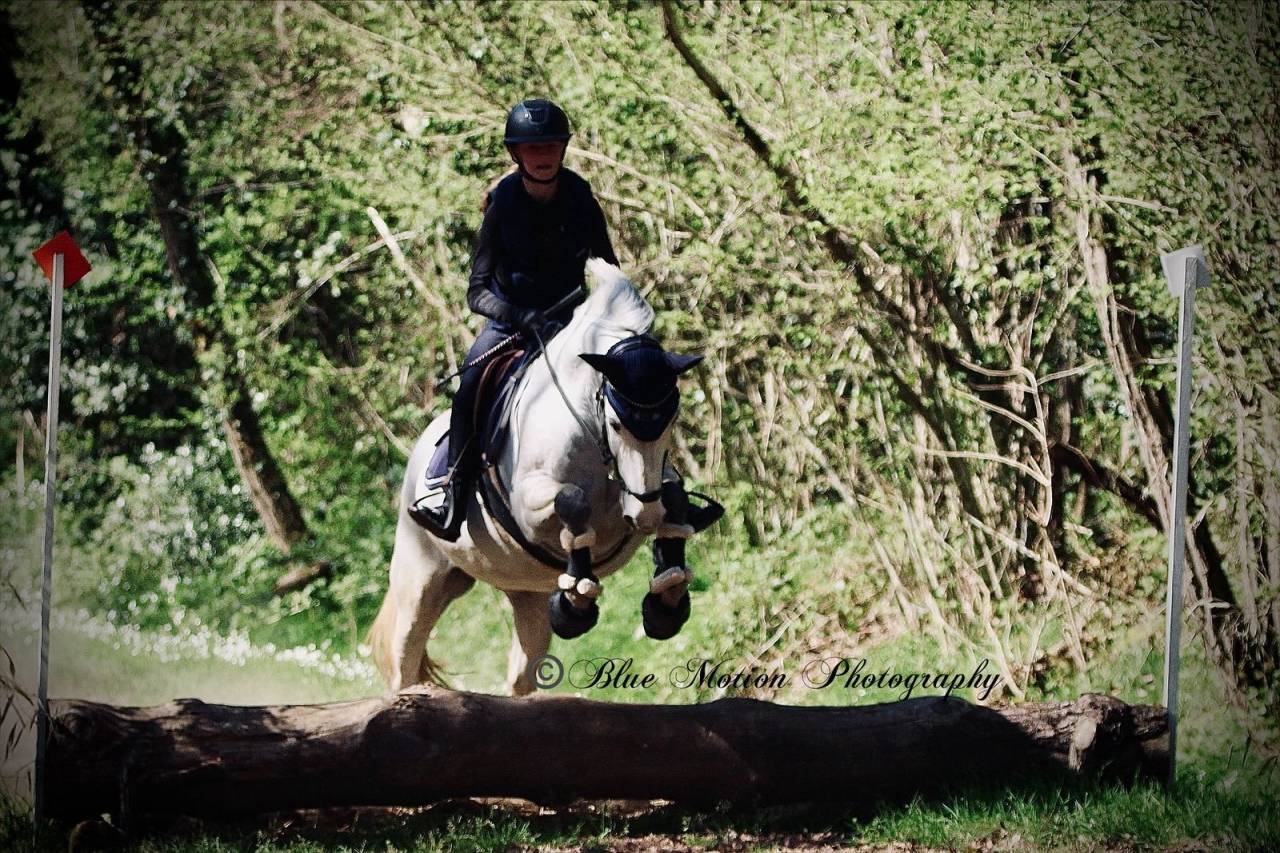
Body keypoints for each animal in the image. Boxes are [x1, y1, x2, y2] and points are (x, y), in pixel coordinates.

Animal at [368, 259, 710, 696]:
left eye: (672, 420)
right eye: (617, 423)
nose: (645, 517)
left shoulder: (646, 488)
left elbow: (676, 498)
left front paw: (667, 601)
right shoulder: (530, 508)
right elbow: (573, 502)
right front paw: (576, 604)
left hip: (524, 591)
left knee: (520, 678)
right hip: (421, 578)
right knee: (404, 662)